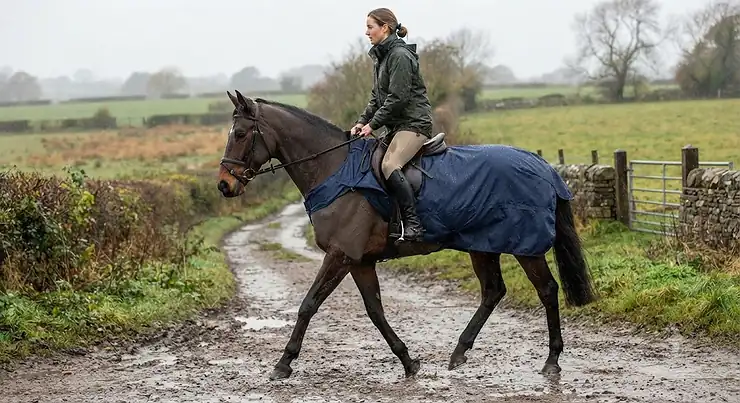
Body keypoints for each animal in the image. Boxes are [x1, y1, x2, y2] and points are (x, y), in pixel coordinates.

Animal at [217, 90, 597, 381]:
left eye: (240, 134)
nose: (224, 185)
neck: (335, 171)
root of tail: (543, 166)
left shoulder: (340, 255)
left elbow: (308, 305)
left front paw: (283, 363)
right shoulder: (360, 261)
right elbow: (375, 310)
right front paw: (408, 361)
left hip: (525, 247)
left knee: (547, 290)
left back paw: (551, 361)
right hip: (482, 244)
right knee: (493, 291)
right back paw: (459, 352)